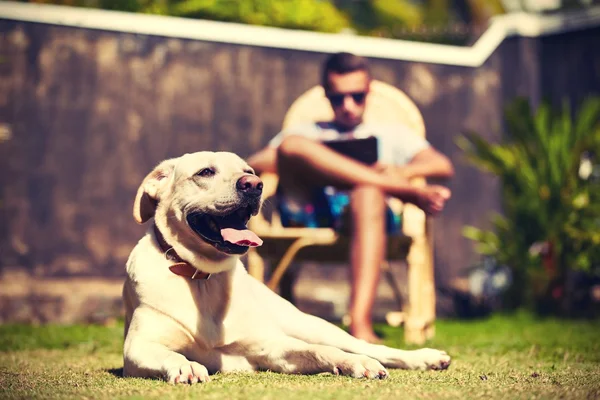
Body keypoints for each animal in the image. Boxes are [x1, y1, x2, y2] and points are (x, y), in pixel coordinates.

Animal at [122, 152, 450, 382]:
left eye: (249, 172)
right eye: (205, 172)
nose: (254, 185)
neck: (203, 278)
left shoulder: (271, 347)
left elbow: (323, 351)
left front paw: (355, 362)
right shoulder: (137, 348)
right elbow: (171, 355)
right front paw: (186, 366)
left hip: (314, 326)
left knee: (367, 347)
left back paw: (425, 357)